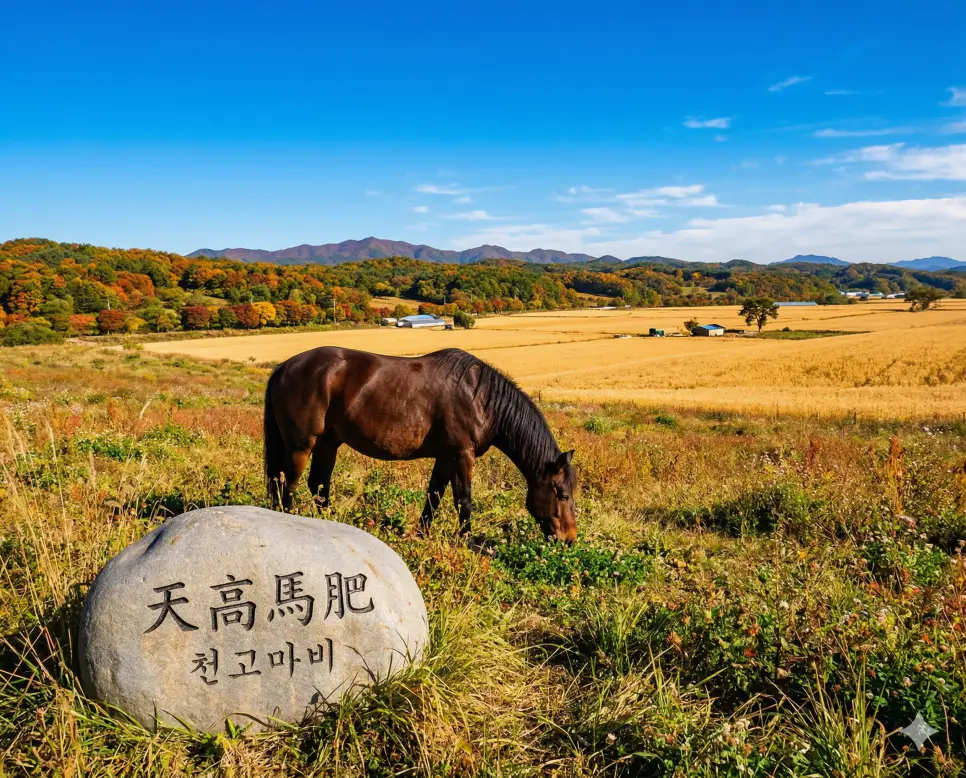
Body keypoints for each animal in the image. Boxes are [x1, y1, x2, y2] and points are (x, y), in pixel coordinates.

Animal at [263, 346, 577, 543]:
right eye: (562, 494)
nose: (569, 540)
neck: (481, 398)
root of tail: (284, 367)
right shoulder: (462, 454)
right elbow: (463, 500)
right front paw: (467, 541)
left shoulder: (446, 456)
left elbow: (434, 495)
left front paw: (422, 534)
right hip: (301, 445)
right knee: (287, 483)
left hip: (328, 443)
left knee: (318, 485)